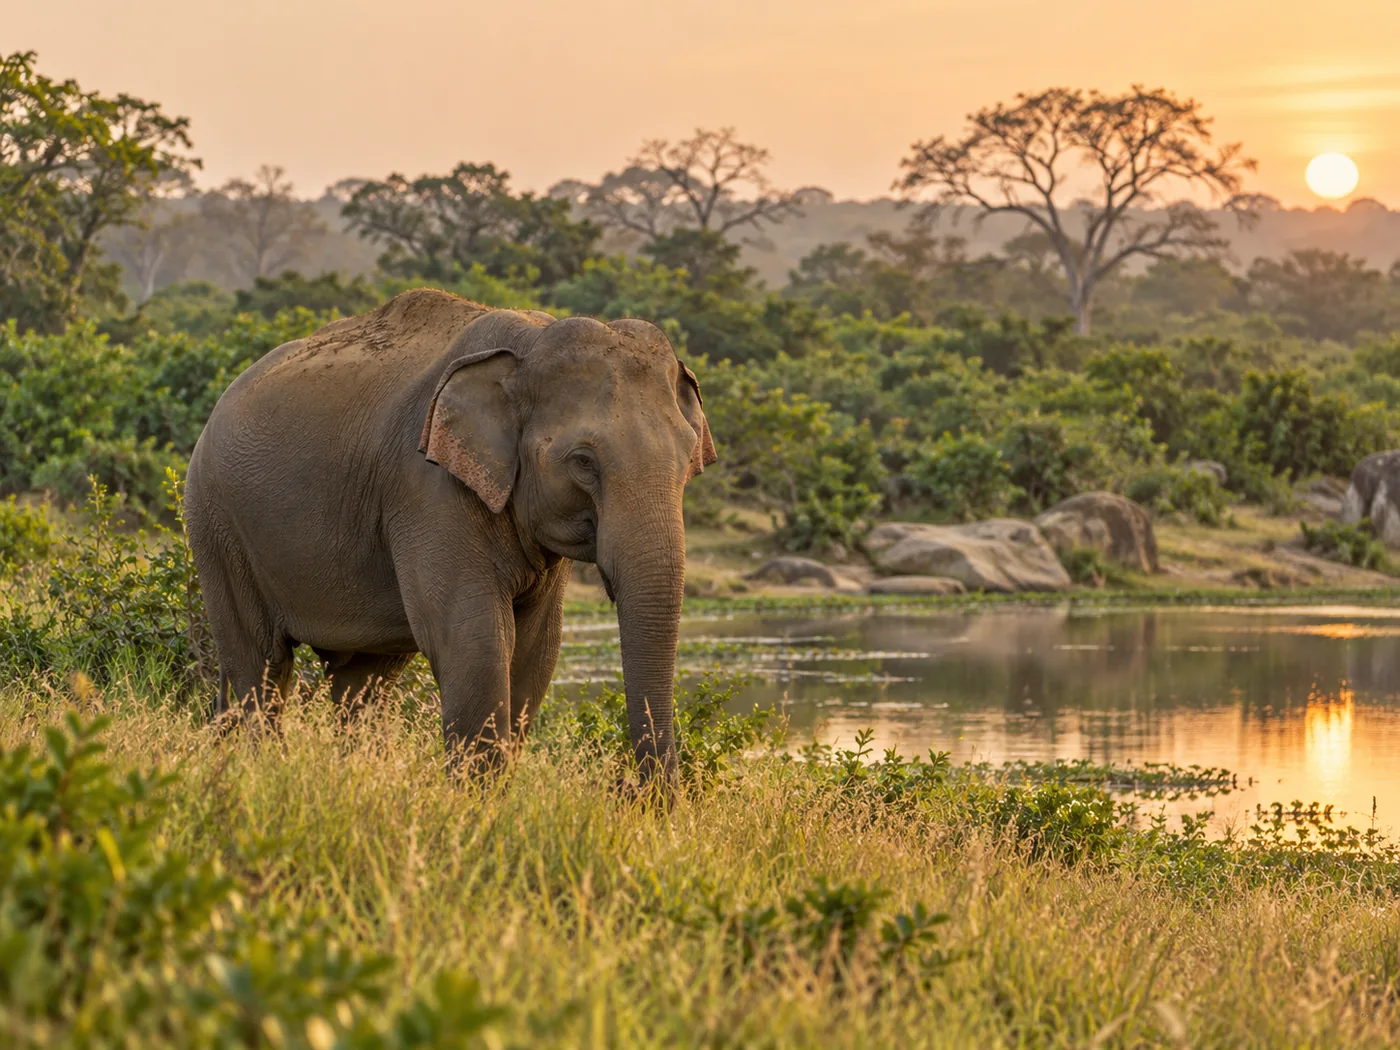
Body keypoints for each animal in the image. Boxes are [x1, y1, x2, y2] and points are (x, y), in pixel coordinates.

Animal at [184, 288, 716, 784]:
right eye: (583, 461)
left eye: (689, 460)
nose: (635, 792)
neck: (530, 344)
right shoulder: (427, 488)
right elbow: (474, 644)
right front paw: (477, 804)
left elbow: (535, 652)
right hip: (216, 523)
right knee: (259, 663)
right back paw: (255, 772)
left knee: (363, 682)